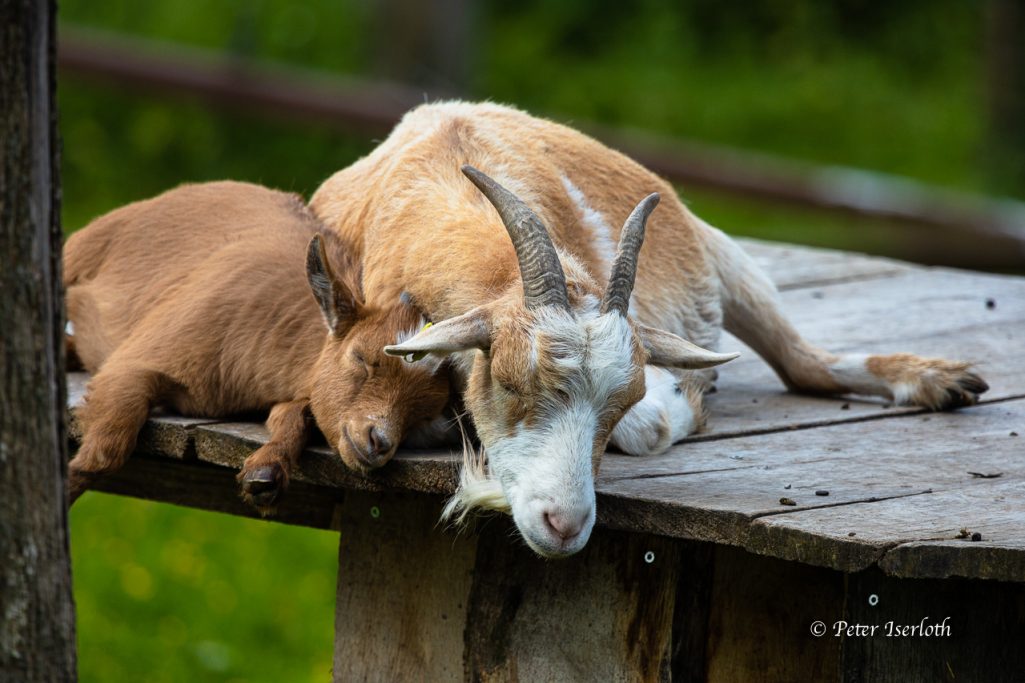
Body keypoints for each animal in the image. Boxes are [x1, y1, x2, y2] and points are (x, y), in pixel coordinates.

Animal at [64, 178, 448, 508]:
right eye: (362, 359)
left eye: (425, 414)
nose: (378, 442)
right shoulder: (136, 360)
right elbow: (105, 451)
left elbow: (296, 414)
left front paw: (265, 473)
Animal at [311, 102, 984, 557]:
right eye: (507, 382)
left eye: (620, 400)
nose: (564, 526)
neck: (439, 178)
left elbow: (654, 423)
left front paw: (684, 401)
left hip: (724, 258)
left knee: (802, 361)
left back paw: (942, 380)